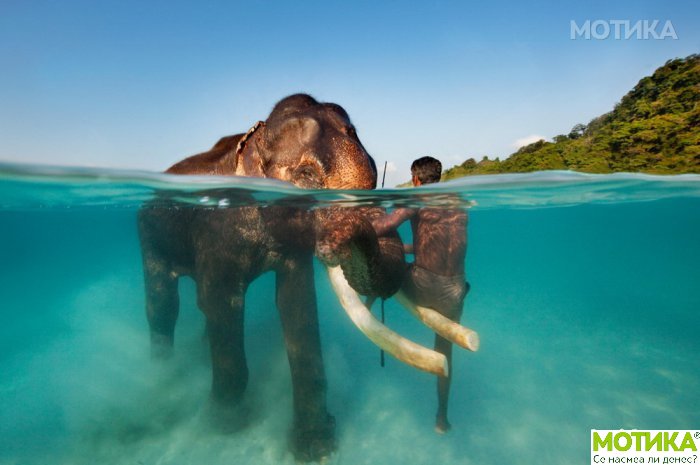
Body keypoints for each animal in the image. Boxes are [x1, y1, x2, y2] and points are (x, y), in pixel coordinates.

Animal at [135, 94, 470, 460]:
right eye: (306, 175)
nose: (331, 242)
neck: (254, 138)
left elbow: (297, 302)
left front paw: (315, 446)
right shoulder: (216, 232)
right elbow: (220, 301)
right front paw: (226, 424)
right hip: (149, 236)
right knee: (164, 306)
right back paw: (163, 376)